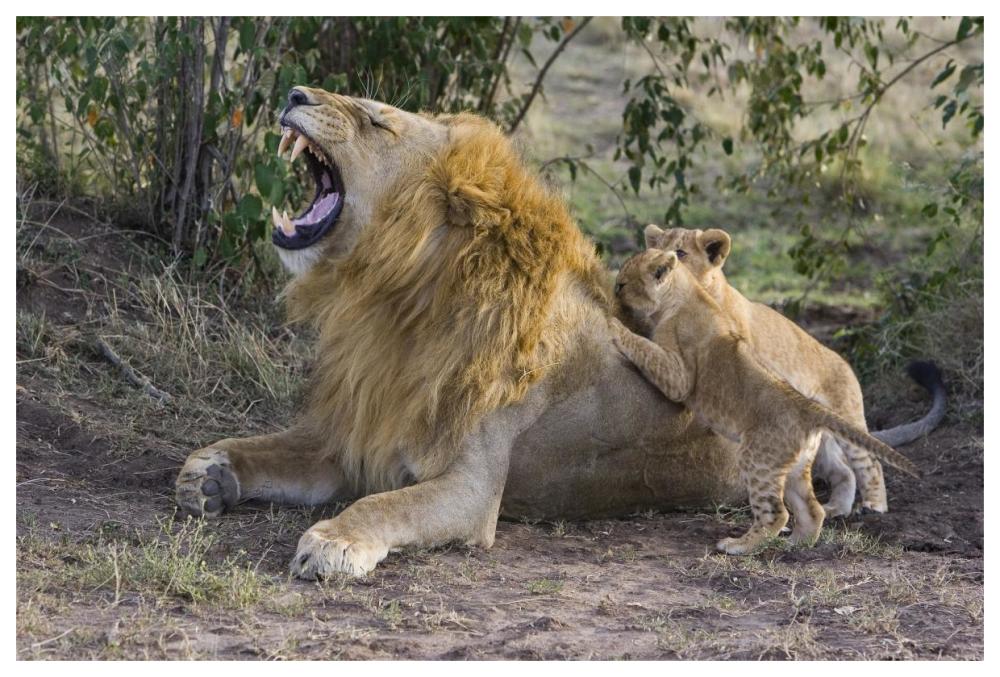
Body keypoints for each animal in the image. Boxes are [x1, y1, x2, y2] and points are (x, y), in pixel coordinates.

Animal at [174, 88, 931, 578]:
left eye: (376, 120)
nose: (296, 89)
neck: (395, 303)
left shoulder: (472, 487)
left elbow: (384, 501)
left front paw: (334, 540)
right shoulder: (359, 431)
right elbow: (272, 447)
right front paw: (209, 472)